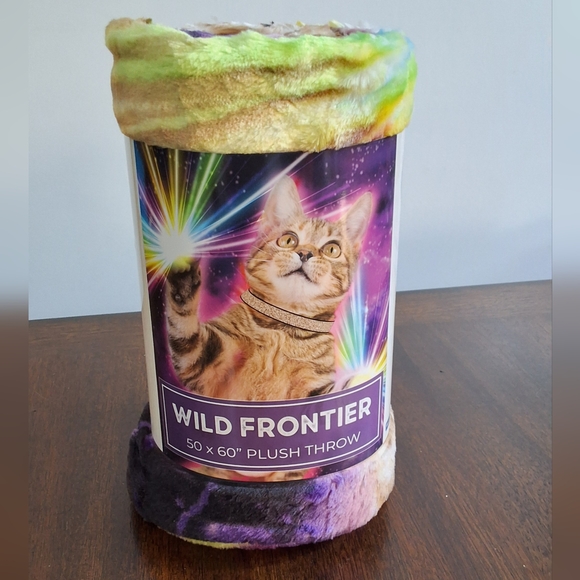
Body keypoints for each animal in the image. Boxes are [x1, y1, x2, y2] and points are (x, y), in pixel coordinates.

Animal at [165, 175, 372, 402]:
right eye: (288, 240)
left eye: (332, 249)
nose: (305, 253)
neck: (283, 328)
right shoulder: (203, 361)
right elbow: (184, 328)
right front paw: (183, 269)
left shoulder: (316, 388)